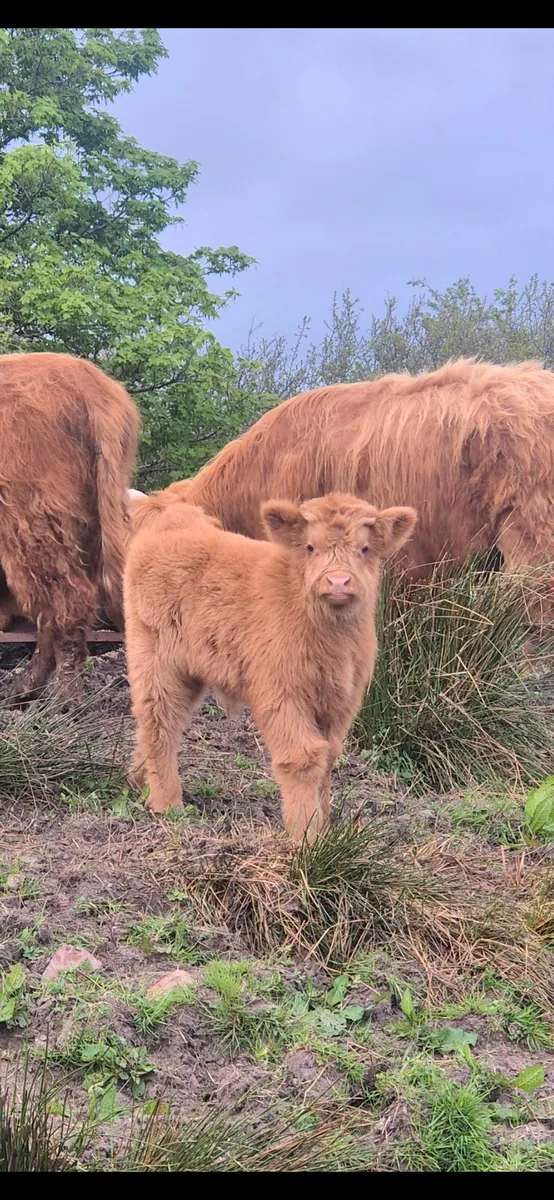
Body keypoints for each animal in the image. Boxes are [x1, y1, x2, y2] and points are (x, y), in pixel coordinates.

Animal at [123, 490, 417, 842]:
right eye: (310, 547)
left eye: (364, 549)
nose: (337, 582)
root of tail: (168, 515)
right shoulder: (282, 693)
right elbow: (303, 757)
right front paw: (306, 835)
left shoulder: (342, 700)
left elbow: (329, 756)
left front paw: (325, 827)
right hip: (157, 659)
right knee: (159, 723)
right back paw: (166, 803)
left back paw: (138, 780)